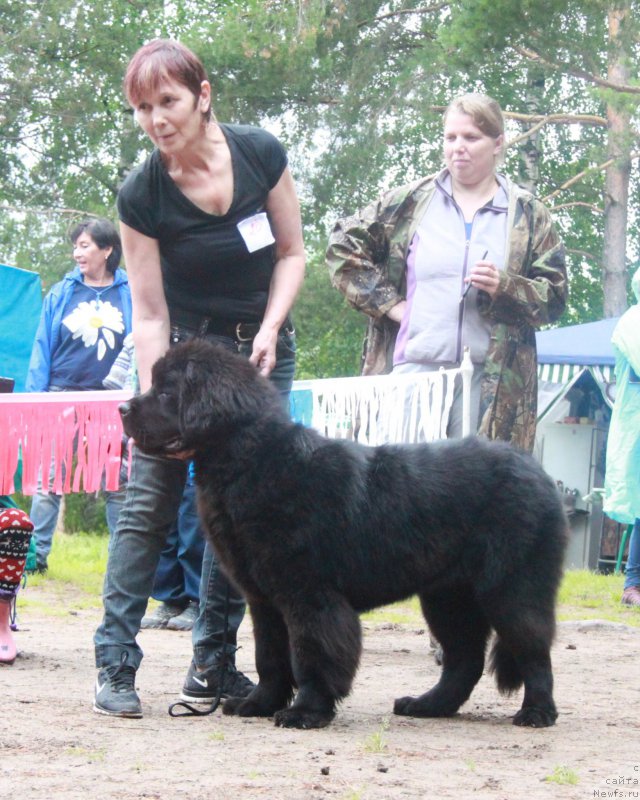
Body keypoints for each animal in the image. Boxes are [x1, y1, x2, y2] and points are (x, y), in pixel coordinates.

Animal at [122, 340, 568, 728]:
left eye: (167, 391)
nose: (124, 407)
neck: (250, 463)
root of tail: (539, 472)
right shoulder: (265, 600)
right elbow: (270, 657)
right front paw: (259, 704)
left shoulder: (310, 595)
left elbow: (312, 656)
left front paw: (306, 712)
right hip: (448, 596)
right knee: (464, 659)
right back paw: (427, 705)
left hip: (510, 587)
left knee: (532, 649)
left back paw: (536, 712)